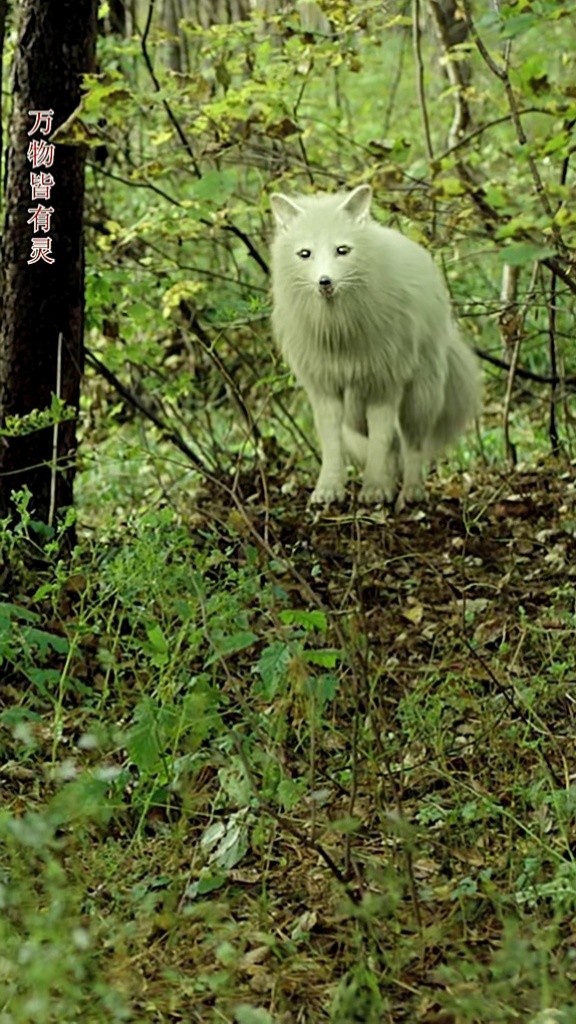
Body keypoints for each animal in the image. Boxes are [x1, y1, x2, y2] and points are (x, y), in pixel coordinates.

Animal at [268, 185, 479, 507]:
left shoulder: (384, 385)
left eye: (342, 250)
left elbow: (382, 440)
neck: (340, 334)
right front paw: (329, 490)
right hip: (355, 412)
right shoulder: (325, 388)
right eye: (305, 254)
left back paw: (411, 491)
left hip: (418, 396)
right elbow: (332, 444)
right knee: (388, 444)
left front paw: (375, 489)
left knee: (411, 443)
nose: (325, 282)